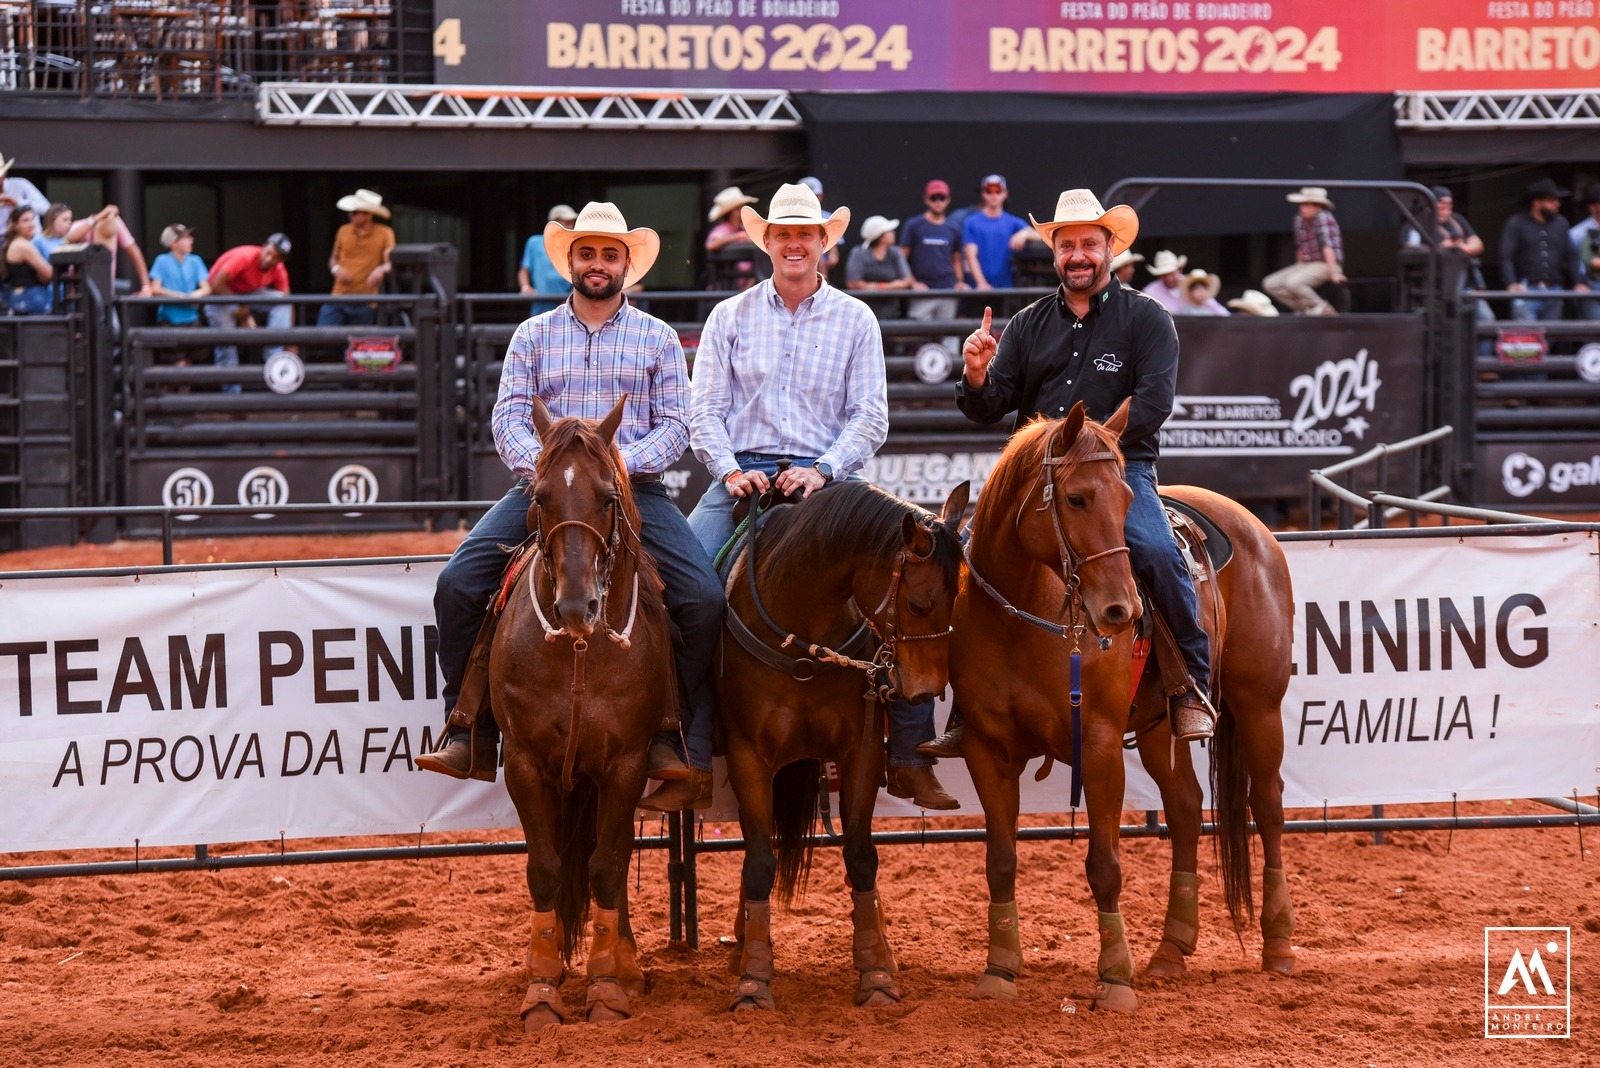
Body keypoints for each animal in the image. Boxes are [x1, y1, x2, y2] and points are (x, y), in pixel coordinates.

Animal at [489, 396, 672, 1029]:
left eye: (609, 497)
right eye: (541, 496)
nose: (577, 606)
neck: (579, 651)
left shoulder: (626, 765)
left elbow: (606, 867)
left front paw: (605, 987)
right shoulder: (525, 763)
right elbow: (545, 868)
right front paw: (542, 990)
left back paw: (627, 965)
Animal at [720, 479, 966, 1016]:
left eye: (958, 596)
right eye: (919, 605)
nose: (926, 691)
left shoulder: (862, 751)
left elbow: (860, 854)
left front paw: (875, 971)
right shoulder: (748, 756)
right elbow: (759, 861)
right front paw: (753, 977)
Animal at [947, 398, 1299, 1010]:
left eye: (1127, 499)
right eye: (1076, 498)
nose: (1122, 611)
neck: (1026, 617)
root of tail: (1255, 525)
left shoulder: (1101, 743)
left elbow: (1105, 865)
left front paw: (1114, 978)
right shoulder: (986, 748)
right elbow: (1000, 860)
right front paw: (999, 970)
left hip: (1259, 705)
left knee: (1269, 805)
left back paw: (1277, 945)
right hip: (1160, 728)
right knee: (1185, 808)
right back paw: (1170, 951)